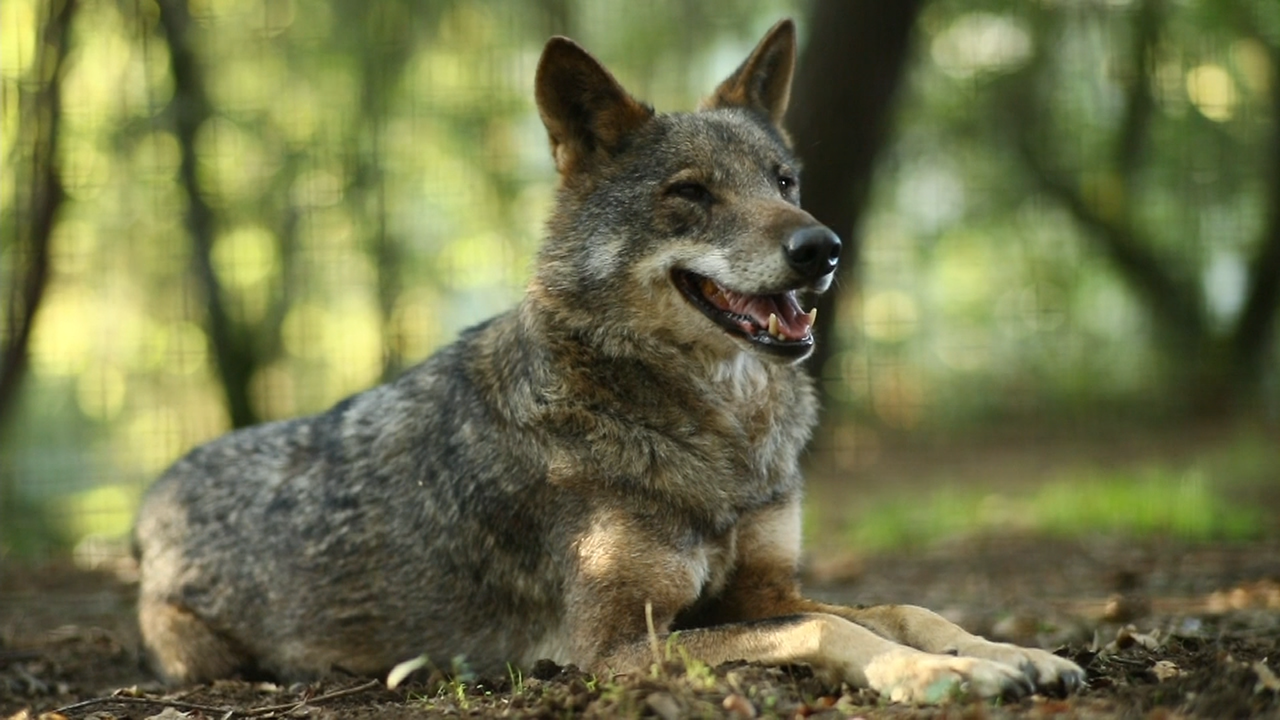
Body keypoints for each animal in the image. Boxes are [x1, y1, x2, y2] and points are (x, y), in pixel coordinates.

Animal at [135, 20, 1085, 702]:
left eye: (783, 182)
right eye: (691, 194)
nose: (824, 248)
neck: (720, 431)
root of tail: (153, 494)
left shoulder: (763, 592)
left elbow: (902, 607)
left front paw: (1007, 652)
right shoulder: (611, 645)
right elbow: (837, 631)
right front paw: (939, 676)